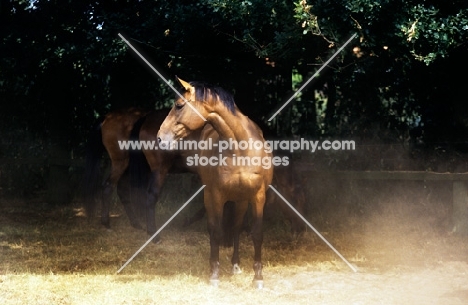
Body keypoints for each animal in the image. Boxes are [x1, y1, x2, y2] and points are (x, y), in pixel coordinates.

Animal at [158, 77, 274, 286]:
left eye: (179, 105)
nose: (160, 138)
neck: (240, 150)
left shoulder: (258, 196)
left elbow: (256, 233)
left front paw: (258, 277)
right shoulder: (217, 195)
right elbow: (216, 232)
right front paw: (214, 274)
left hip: (241, 200)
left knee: (236, 228)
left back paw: (235, 265)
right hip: (211, 197)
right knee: (214, 229)